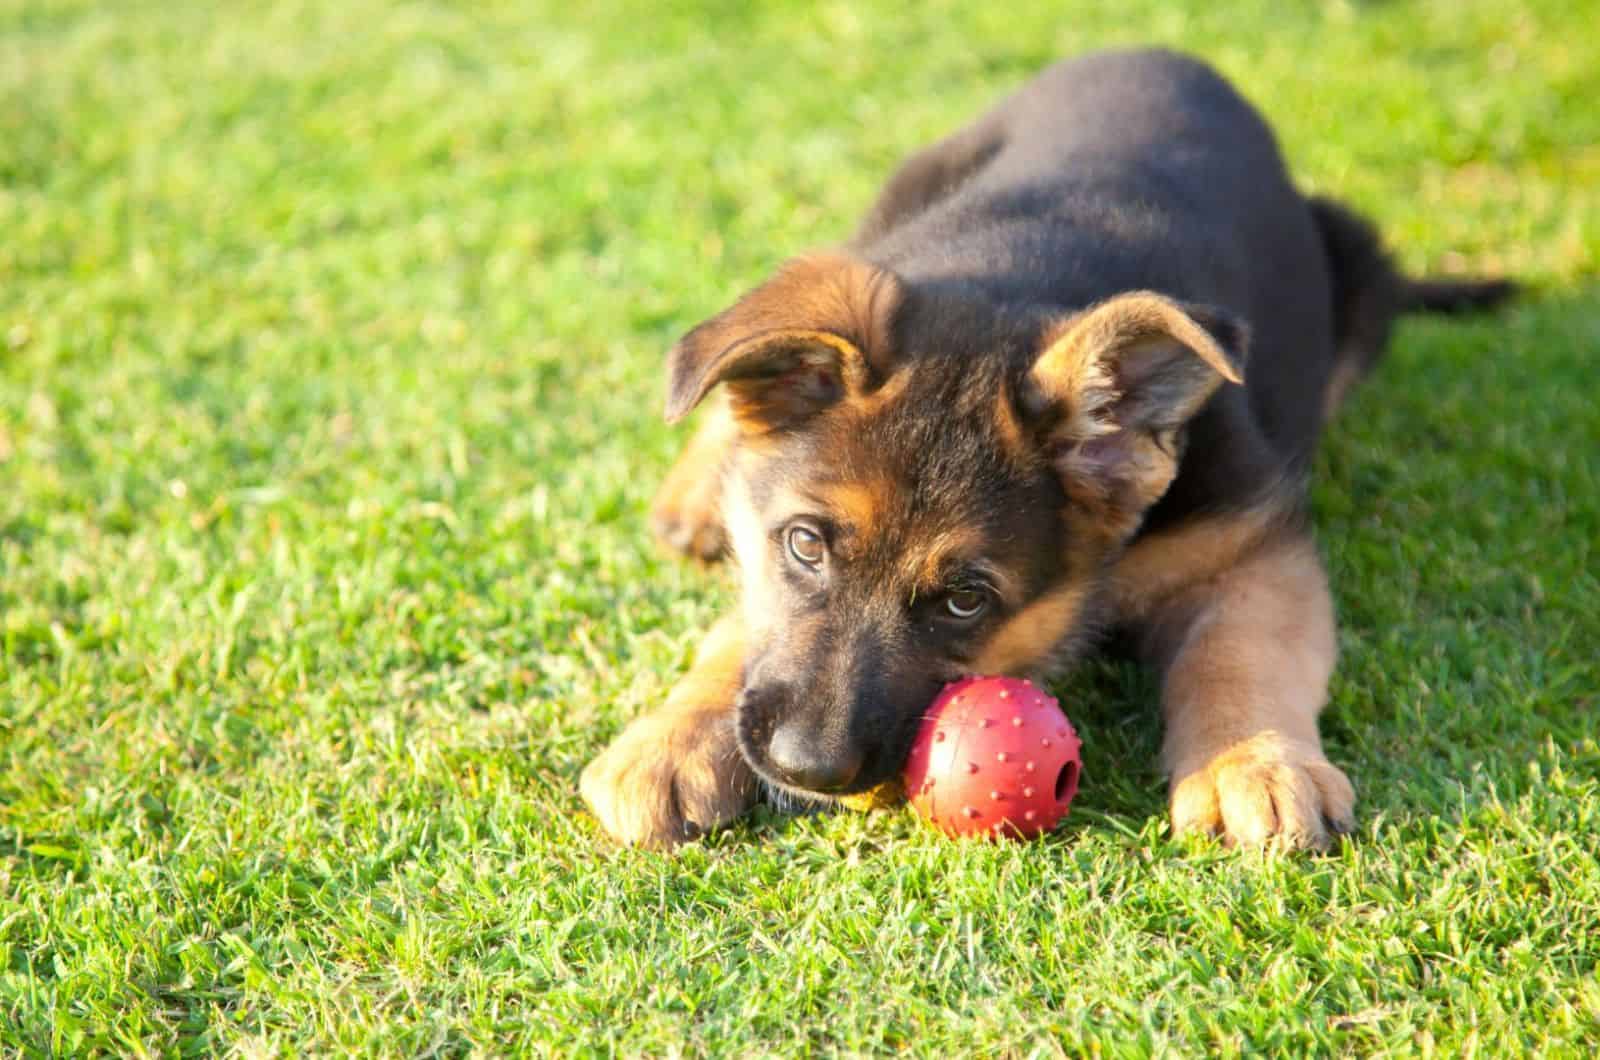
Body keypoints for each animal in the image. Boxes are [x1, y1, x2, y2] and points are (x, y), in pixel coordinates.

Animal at [579, 49, 1510, 858]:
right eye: (804, 545)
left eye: (965, 601)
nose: (808, 768)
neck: (1017, 277)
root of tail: (1157, 51)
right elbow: (745, 625)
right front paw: (674, 737)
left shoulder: (1248, 545)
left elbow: (1243, 649)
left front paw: (1253, 761)